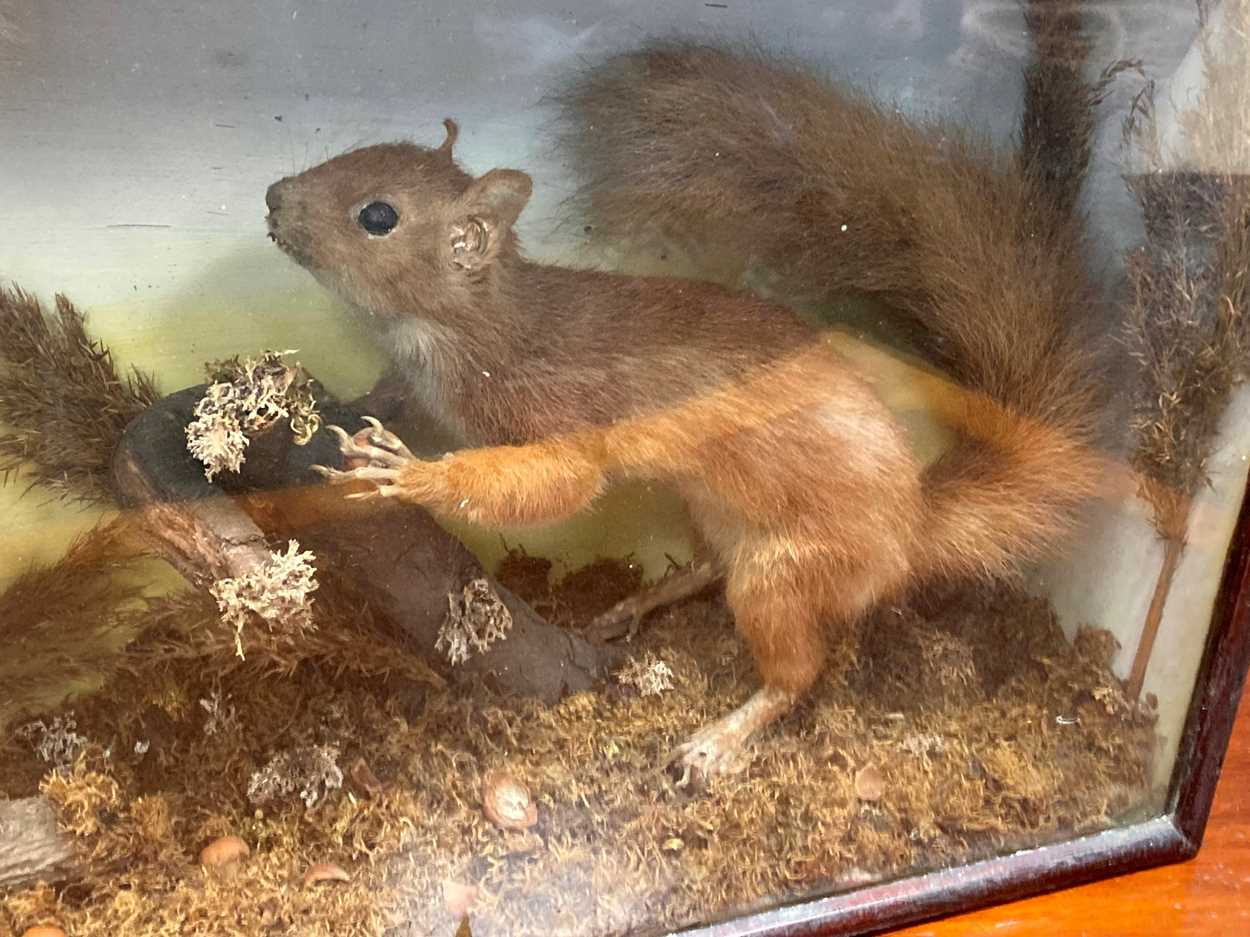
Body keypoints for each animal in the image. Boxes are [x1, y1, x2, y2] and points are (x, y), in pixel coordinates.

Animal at [261, 42, 1095, 784]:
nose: (272, 197)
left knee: (797, 670)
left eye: (378, 216)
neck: (454, 326)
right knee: (704, 567)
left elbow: (551, 483)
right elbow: (400, 400)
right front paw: (353, 405)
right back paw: (631, 604)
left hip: (783, 569)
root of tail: (911, 526)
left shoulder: (555, 410)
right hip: (710, 508)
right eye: (365, 149)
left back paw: (719, 739)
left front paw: (407, 472)